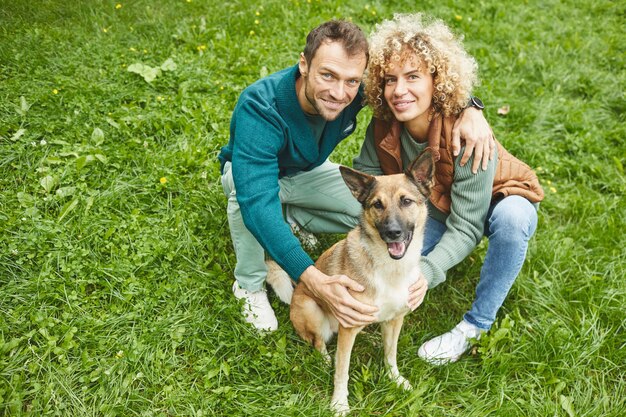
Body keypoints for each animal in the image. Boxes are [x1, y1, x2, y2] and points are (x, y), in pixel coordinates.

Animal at [266, 150, 432, 412]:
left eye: (406, 201)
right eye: (377, 204)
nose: (392, 233)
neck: (390, 268)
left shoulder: (395, 320)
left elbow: (391, 353)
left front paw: (395, 379)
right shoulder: (348, 330)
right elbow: (341, 370)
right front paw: (339, 404)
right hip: (312, 309)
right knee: (318, 342)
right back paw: (324, 359)